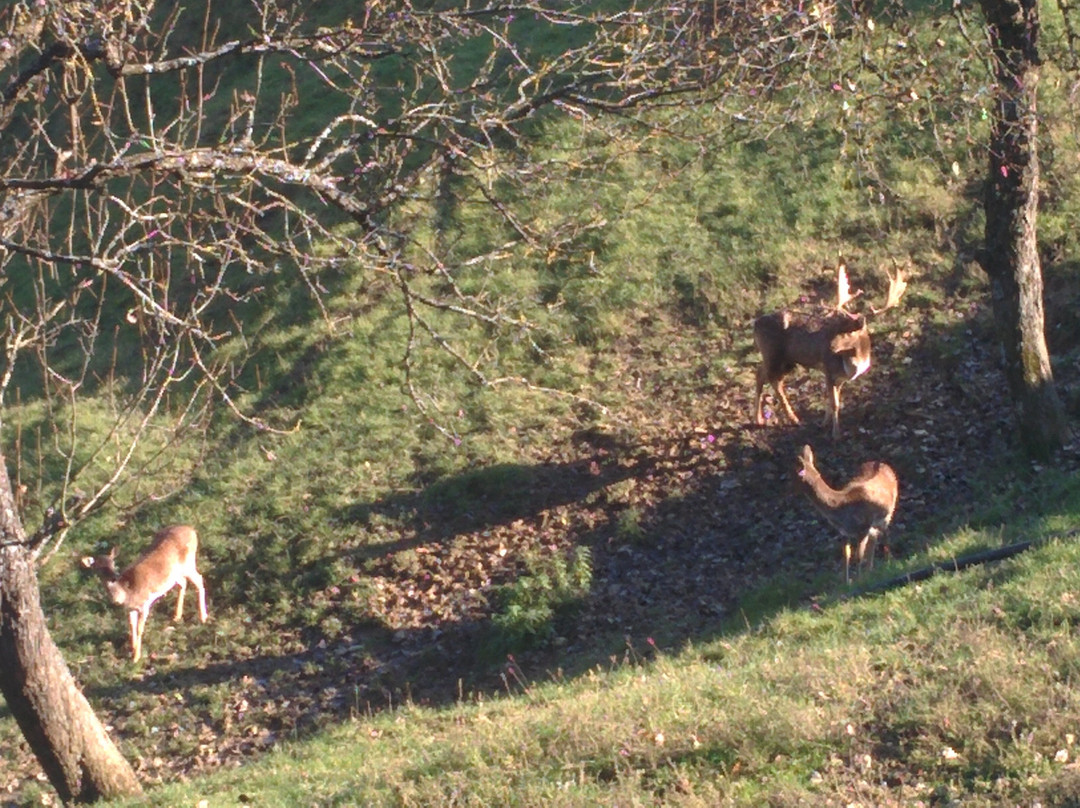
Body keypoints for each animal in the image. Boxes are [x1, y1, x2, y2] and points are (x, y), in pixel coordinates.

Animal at [81, 524, 207, 661]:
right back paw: (177, 617)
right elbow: (132, 626)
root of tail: (191, 530)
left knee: (199, 579)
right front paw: (133, 649)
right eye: (98, 568)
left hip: (188, 563)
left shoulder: (145, 604)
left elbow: (140, 629)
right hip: (175, 574)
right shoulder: (130, 608)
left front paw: (136, 657)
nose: (114, 576)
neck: (127, 594)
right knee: (183, 583)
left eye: (113, 562)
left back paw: (203, 618)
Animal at [756, 259, 907, 438]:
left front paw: (824, 423)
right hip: (774, 354)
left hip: (782, 360)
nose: (830, 347)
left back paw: (761, 419)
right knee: (772, 379)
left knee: (761, 374)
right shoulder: (828, 370)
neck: (854, 363)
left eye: (849, 330)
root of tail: (754, 325)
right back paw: (792, 419)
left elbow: (833, 401)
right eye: (836, 327)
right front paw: (836, 434)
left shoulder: (840, 379)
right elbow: (834, 403)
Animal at [790, 445, 898, 583]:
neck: (840, 508)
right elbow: (846, 556)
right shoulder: (844, 532)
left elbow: (858, 556)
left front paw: (859, 580)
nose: (788, 490)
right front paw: (847, 582)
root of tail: (885, 464)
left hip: (887, 514)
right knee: (875, 538)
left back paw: (888, 563)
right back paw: (870, 571)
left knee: (886, 535)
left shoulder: (863, 528)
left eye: (793, 476)